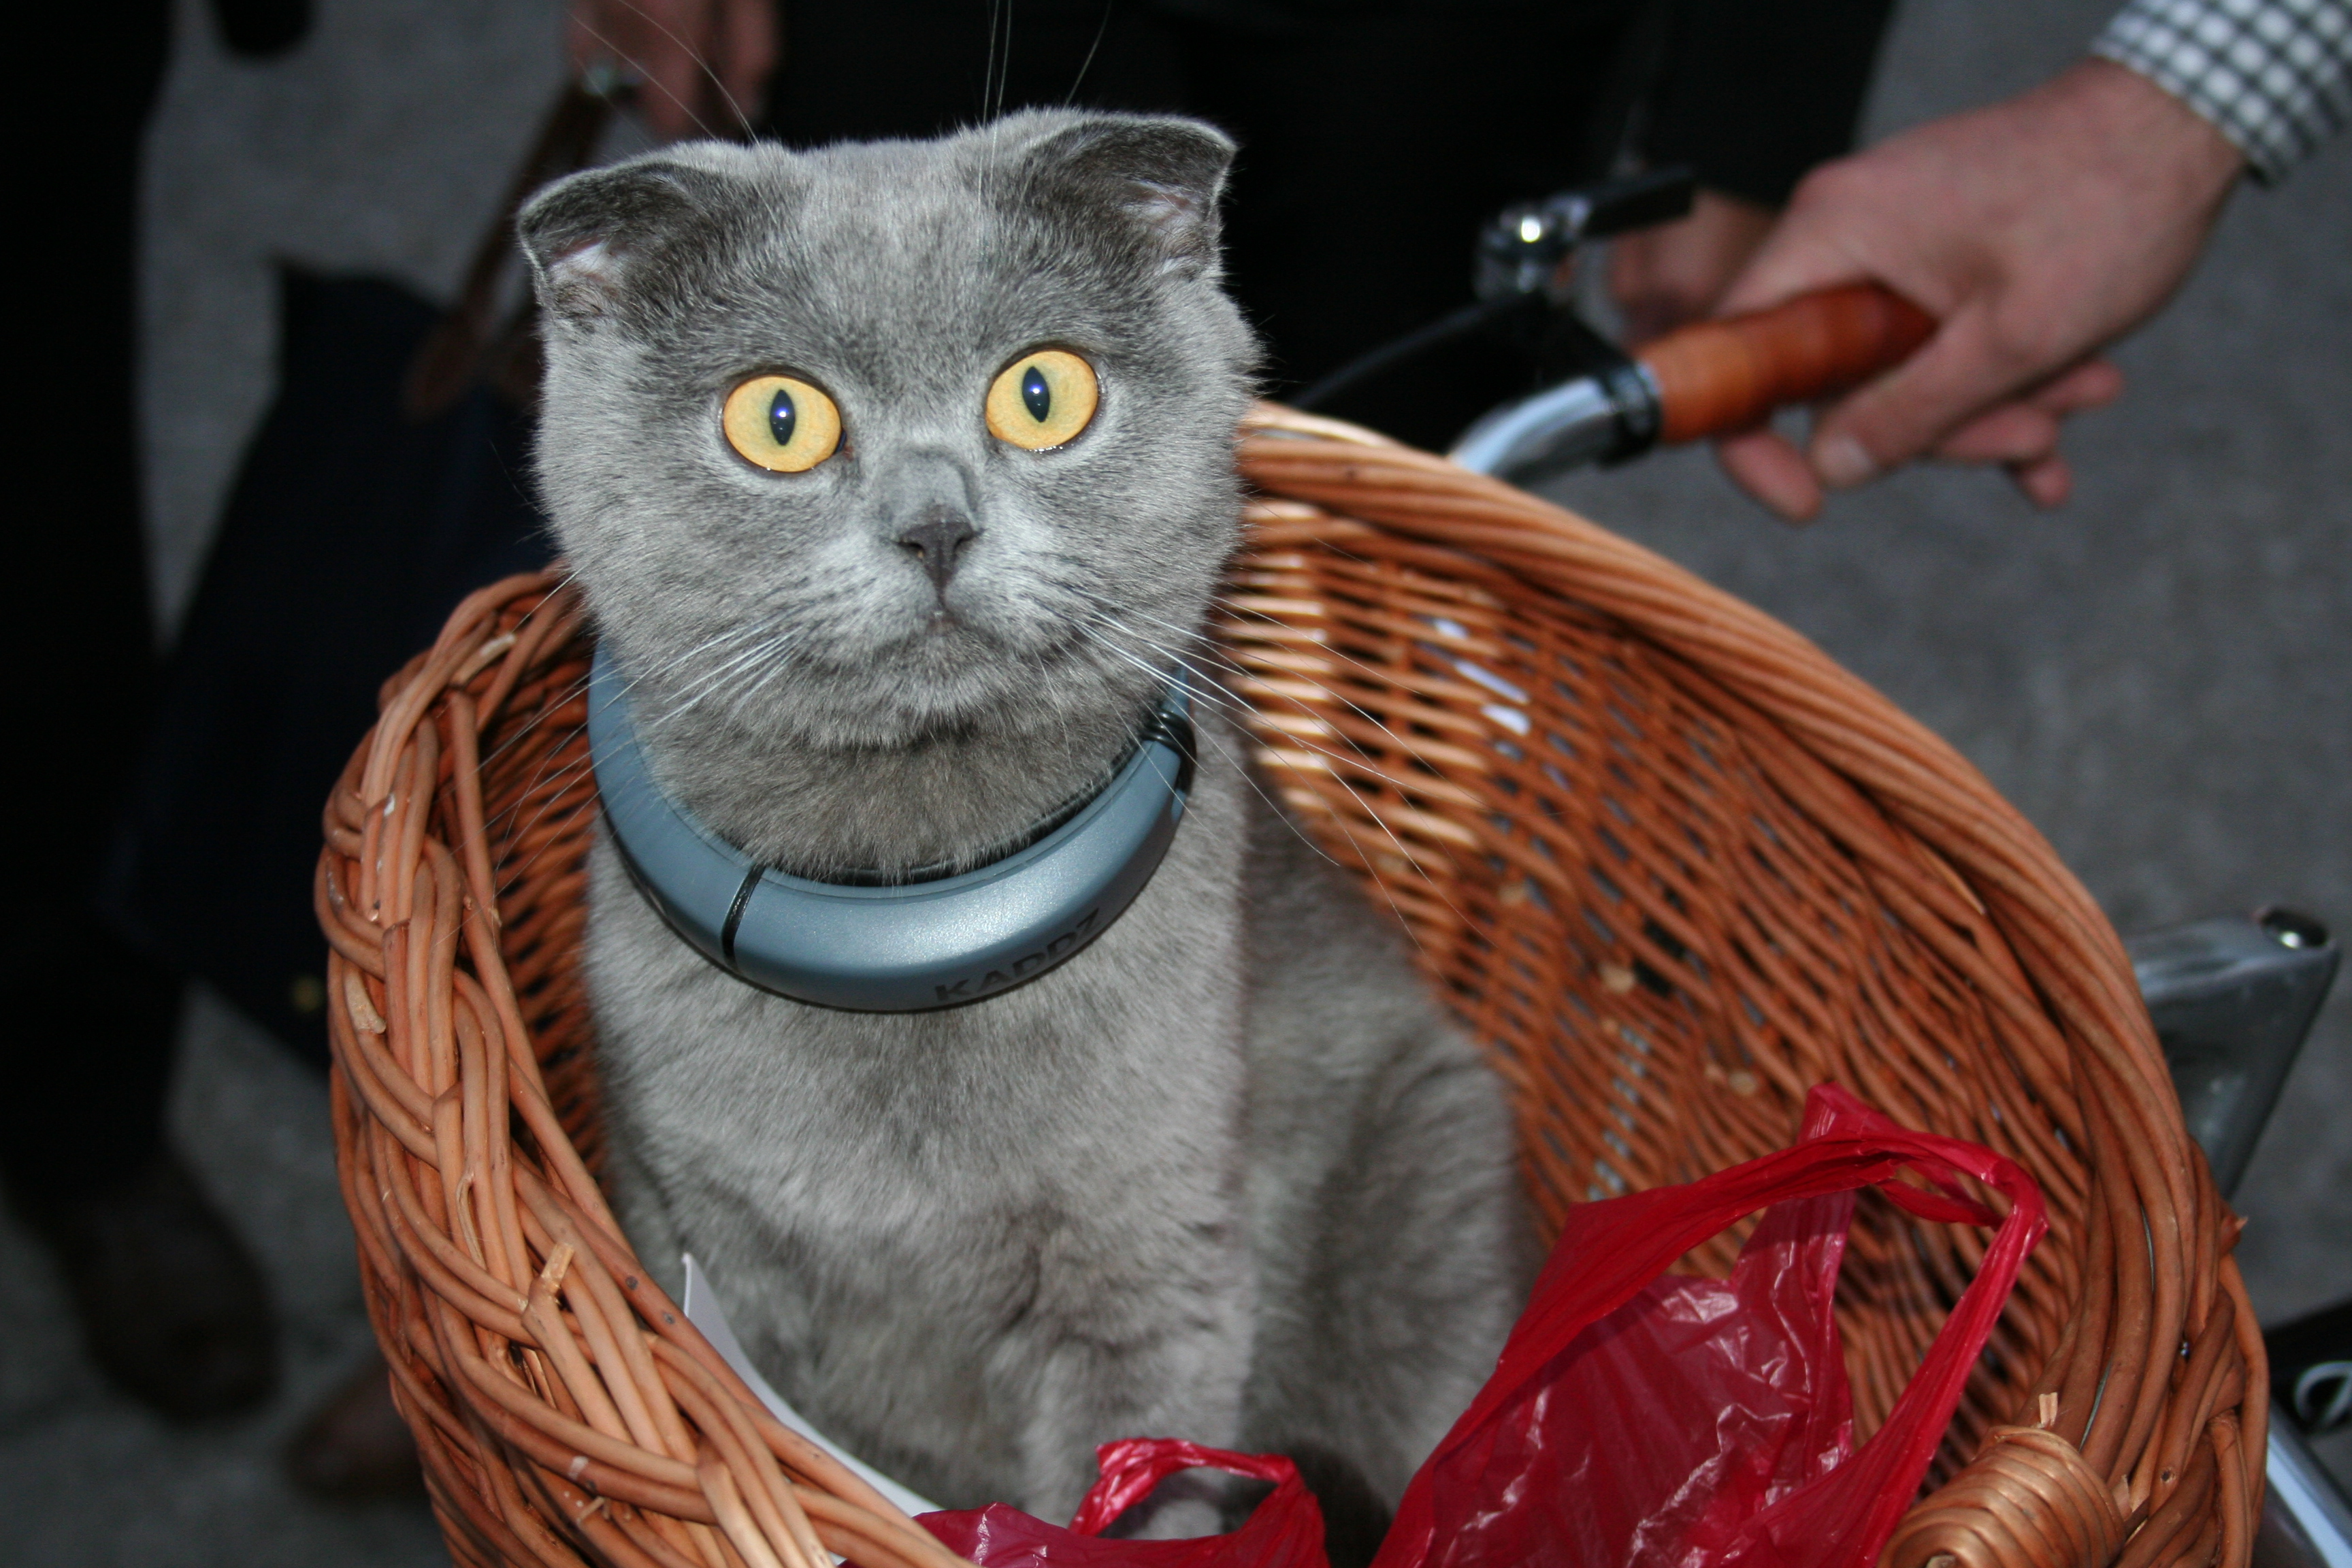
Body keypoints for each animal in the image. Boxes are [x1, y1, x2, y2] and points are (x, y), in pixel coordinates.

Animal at [519, 113, 1524, 1561]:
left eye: (1042, 394)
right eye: (778, 417)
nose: (936, 524)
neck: (904, 912)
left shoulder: (1148, 1277)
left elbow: (1131, 1475)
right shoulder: (686, 1234)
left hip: (1425, 1185)